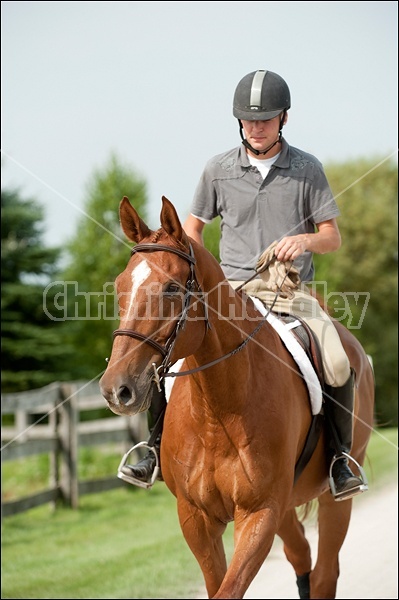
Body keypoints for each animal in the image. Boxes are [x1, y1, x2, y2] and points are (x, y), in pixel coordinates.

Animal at [100, 197, 376, 600]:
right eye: (120, 286)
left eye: (171, 288)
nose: (116, 389)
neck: (218, 413)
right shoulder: (196, 518)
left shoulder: (259, 513)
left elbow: (230, 590)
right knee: (301, 555)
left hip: (331, 500)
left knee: (325, 573)